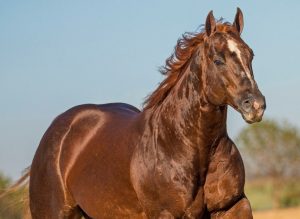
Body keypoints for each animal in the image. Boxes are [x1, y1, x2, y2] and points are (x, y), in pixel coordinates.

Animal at [15, 7, 266, 218]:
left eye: (251, 55)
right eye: (218, 60)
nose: (255, 105)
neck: (185, 145)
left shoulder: (234, 206)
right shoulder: (166, 214)